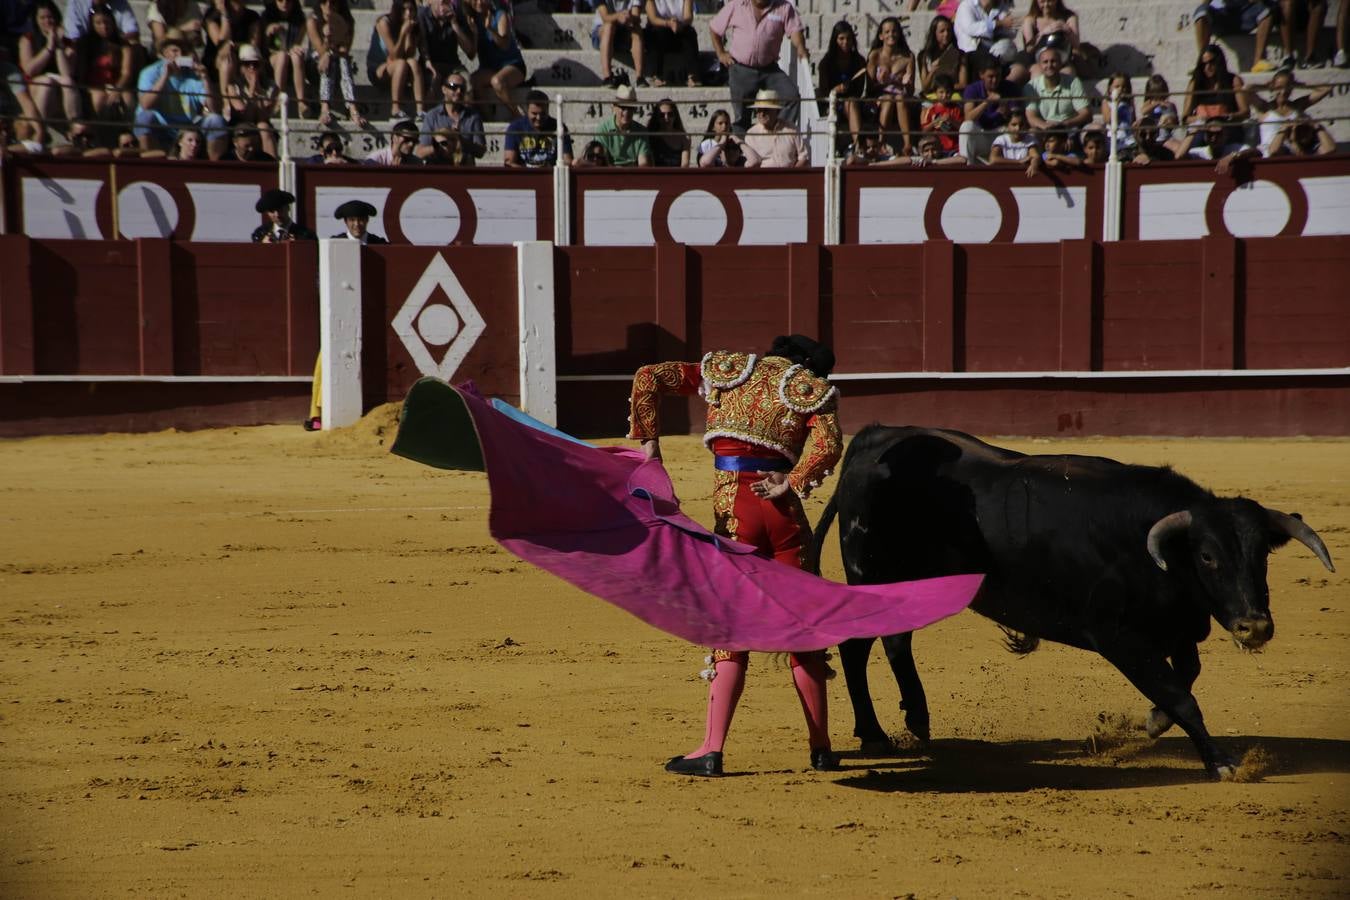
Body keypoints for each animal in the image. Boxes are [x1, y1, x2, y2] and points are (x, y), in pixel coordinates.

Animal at [804, 426, 1333, 777]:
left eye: (1262, 553)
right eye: (1207, 555)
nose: (1255, 626)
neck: (1149, 546)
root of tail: (876, 437)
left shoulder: (1176, 627)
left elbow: (1184, 676)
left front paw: (1154, 722)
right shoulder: (1117, 637)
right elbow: (1180, 692)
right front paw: (1220, 761)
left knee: (892, 641)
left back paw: (910, 719)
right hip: (874, 576)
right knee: (858, 645)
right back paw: (876, 733)